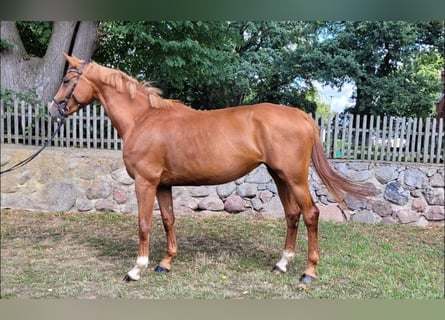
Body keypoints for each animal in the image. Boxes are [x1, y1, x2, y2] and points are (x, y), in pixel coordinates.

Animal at [47, 53, 368, 286]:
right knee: (292, 215)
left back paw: (308, 272)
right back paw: (281, 263)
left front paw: (136, 269)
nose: (52, 109)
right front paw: (165, 263)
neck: (143, 118)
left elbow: (144, 224)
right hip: (280, 177)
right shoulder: (163, 184)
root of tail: (302, 115)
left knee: (311, 214)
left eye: (67, 78)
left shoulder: (145, 182)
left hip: (295, 177)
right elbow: (168, 220)